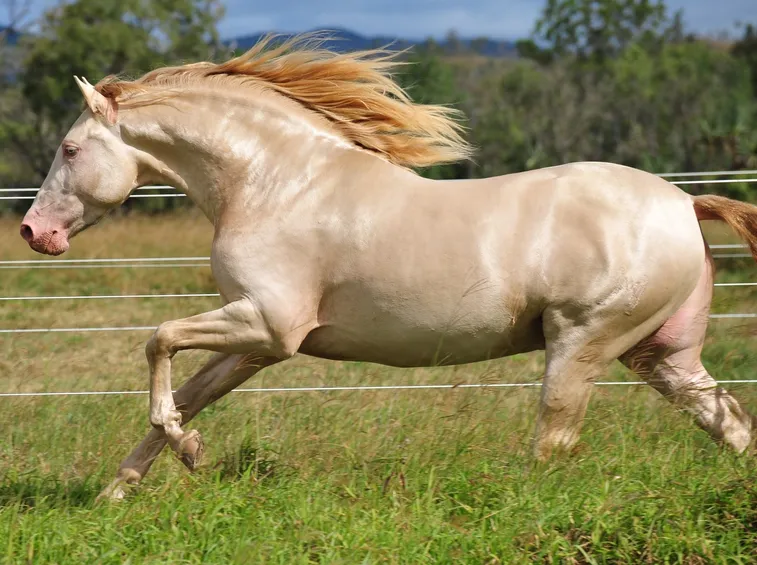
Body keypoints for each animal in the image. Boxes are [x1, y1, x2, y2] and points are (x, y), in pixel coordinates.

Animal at [18, 35, 757, 500]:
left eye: (69, 147)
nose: (34, 231)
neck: (276, 182)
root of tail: (685, 202)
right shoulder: (256, 343)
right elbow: (186, 392)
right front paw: (122, 488)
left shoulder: (268, 324)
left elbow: (159, 340)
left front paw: (183, 450)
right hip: (660, 355)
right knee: (727, 420)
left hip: (580, 344)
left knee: (553, 441)